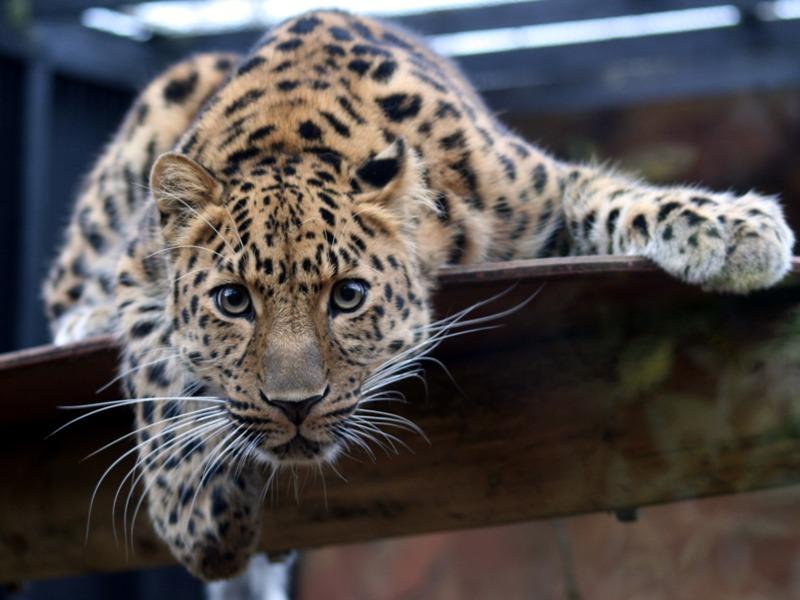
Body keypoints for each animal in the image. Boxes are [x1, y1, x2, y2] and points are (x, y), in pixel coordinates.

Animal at [43, 9, 795, 585]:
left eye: (348, 296)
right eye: (233, 302)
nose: (295, 406)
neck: (291, 134)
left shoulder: (543, 192)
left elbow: (619, 197)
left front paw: (738, 230)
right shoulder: (139, 274)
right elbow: (159, 379)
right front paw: (200, 521)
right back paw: (82, 317)